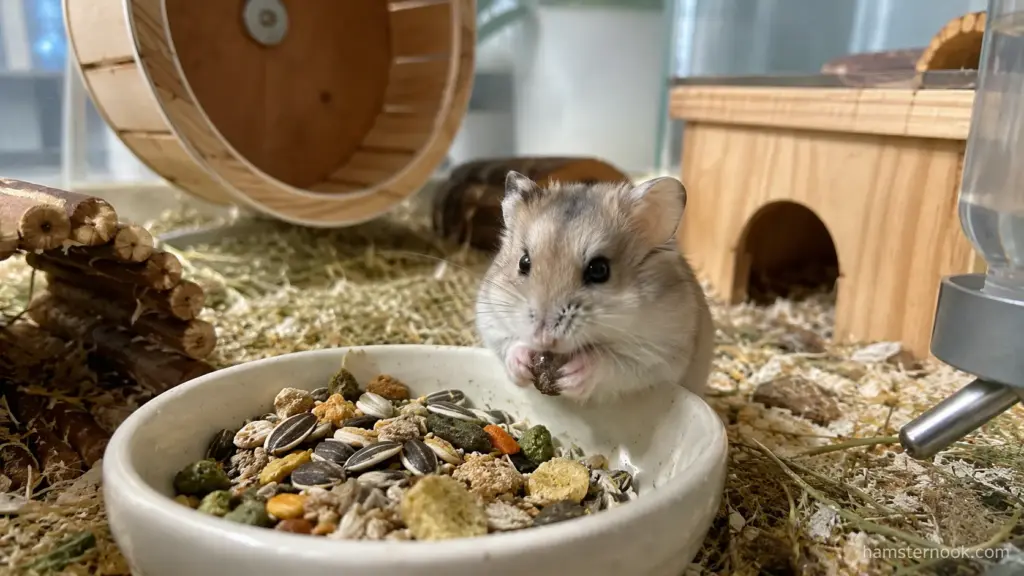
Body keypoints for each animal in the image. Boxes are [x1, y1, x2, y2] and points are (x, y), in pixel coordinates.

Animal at [474, 170, 715, 404]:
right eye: (524, 263)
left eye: (599, 270)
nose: (544, 339)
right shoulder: (490, 319)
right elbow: (508, 343)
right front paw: (521, 365)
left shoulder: (655, 354)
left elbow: (610, 362)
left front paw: (573, 373)